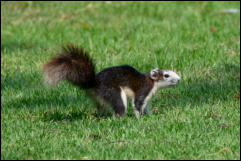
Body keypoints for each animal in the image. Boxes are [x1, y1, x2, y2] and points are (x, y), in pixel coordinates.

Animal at [42, 44, 180, 117]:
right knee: (119, 106)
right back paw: (122, 118)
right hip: (113, 91)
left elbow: (146, 107)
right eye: (166, 75)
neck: (153, 84)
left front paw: (150, 115)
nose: (178, 79)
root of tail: (94, 83)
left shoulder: (149, 97)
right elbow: (137, 104)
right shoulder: (143, 89)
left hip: (99, 99)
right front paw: (139, 118)